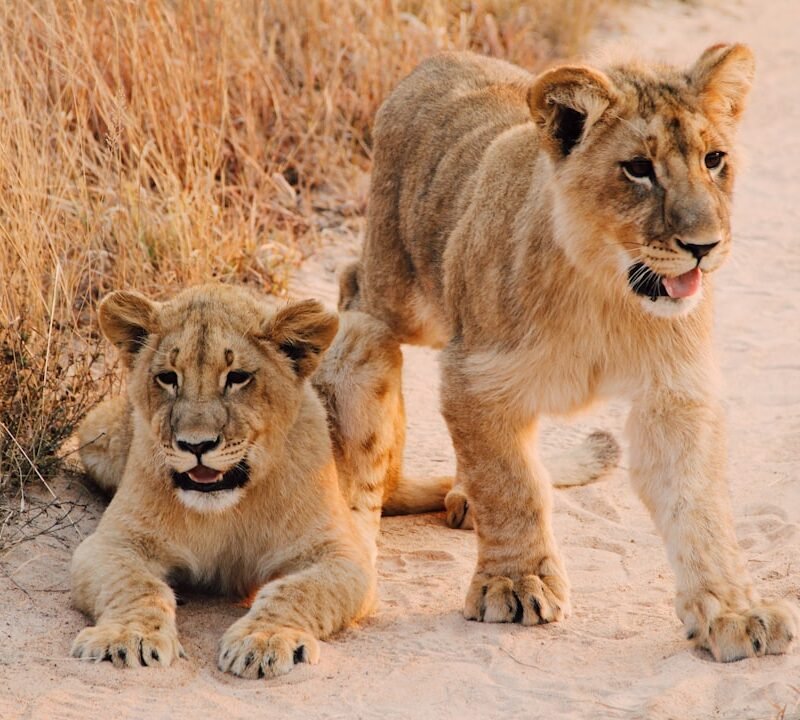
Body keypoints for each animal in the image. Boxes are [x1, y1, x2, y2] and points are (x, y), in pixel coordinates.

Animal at [342, 45, 798, 661]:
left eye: (714, 159)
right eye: (638, 168)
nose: (704, 247)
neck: (605, 288)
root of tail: (442, 56)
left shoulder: (675, 393)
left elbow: (698, 504)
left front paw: (732, 611)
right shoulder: (476, 374)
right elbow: (510, 483)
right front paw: (515, 582)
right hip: (399, 291)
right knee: (353, 284)